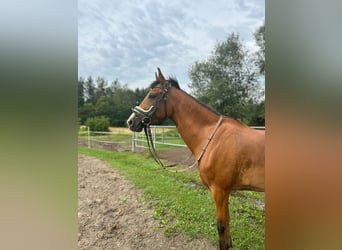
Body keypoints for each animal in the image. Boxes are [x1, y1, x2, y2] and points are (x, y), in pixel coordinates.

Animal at [127, 68, 266, 250]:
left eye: (152, 95)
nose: (130, 121)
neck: (212, 137)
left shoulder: (219, 191)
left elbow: (221, 227)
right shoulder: (224, 192)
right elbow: (227, 227)